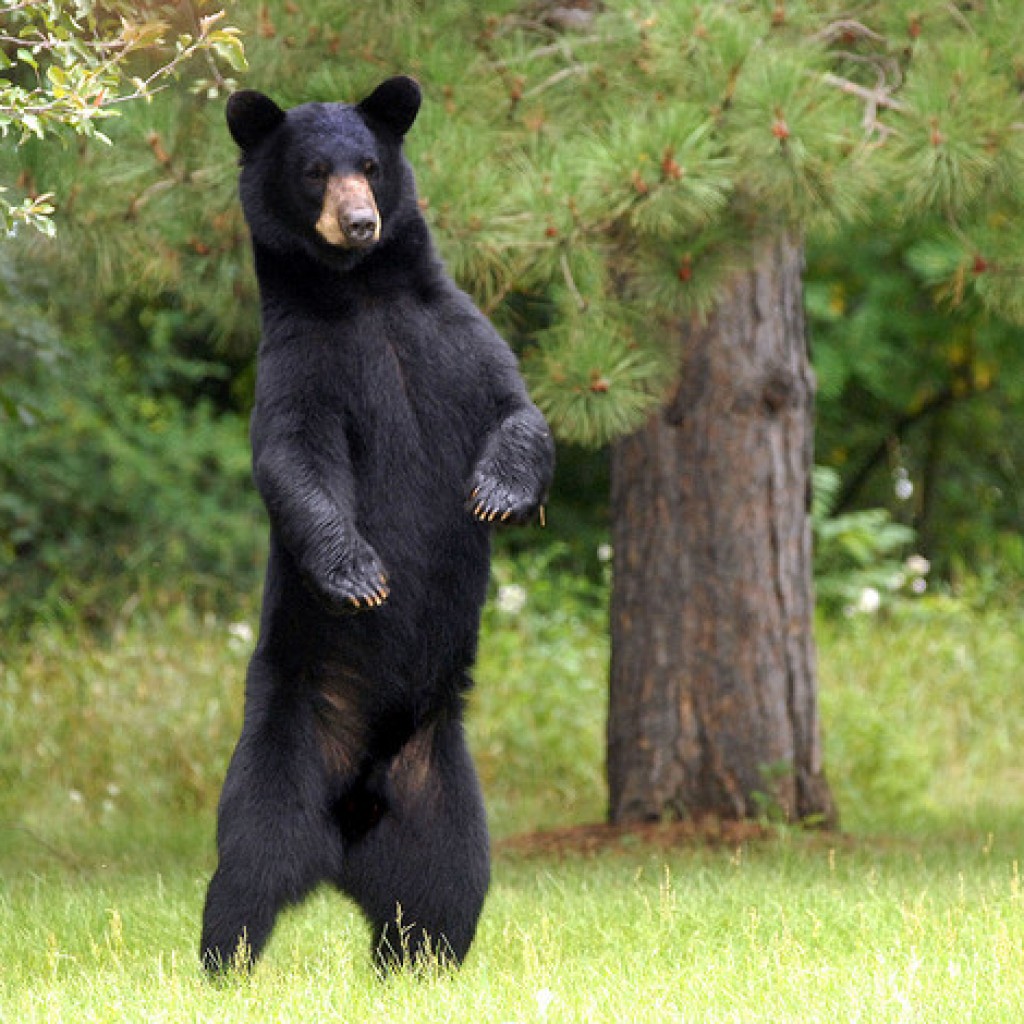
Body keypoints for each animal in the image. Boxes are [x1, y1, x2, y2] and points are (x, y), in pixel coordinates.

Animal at [200, 75, 555, 974]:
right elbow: (295, 460)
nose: (359, 221)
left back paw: (422, 963)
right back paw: (224, 966)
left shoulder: (456, 333)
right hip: (284, 746)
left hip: (440, 785)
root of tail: (352, 818)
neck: (363, 290)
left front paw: (498, 492)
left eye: (367, 165)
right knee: (249, 867)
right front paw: (357, 572)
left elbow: (521, 412)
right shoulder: (302, 364)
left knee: (447, 884)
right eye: (315, 172)